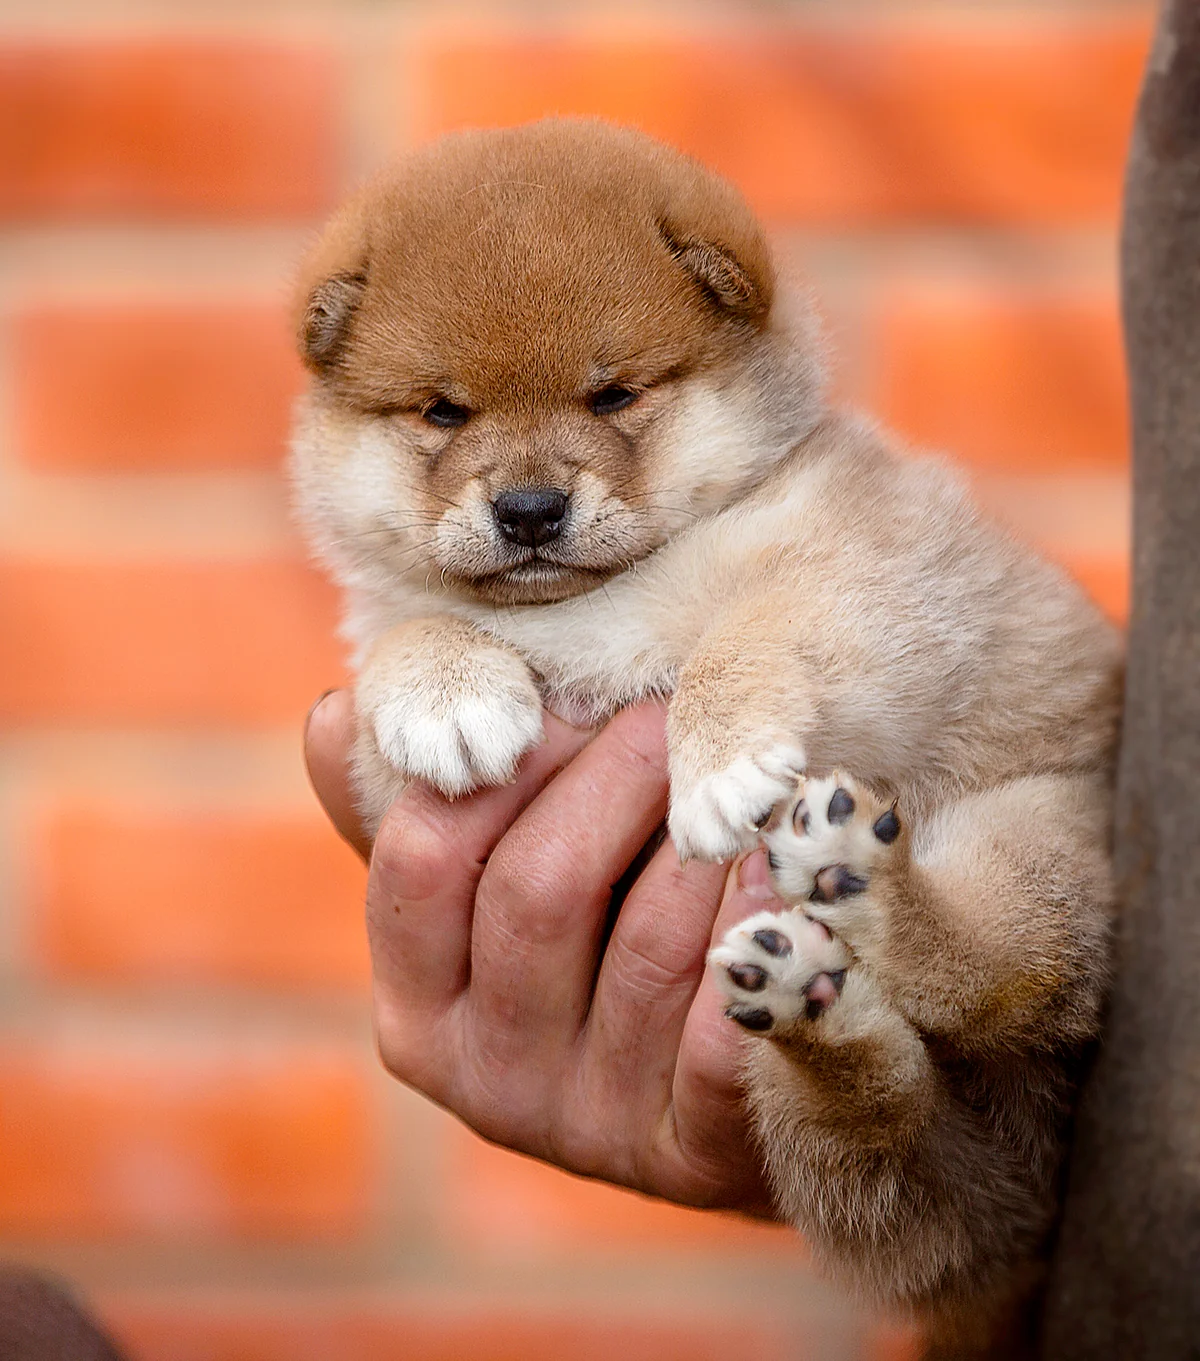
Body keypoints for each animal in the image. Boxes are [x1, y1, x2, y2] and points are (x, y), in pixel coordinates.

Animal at [290, 118, 1121, 1355]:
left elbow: (747, 637)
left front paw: (721, 763)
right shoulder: (383, 714)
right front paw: (448, 690)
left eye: (614, 394)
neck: (596, 606)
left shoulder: (876, 590)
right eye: (443, 412)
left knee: (1001, 975)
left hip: (1042, 833)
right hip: (816, 1104)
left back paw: (863, 881)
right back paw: (814, 1004)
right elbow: (412, 629)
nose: (527, 509)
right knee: (890, 1138)